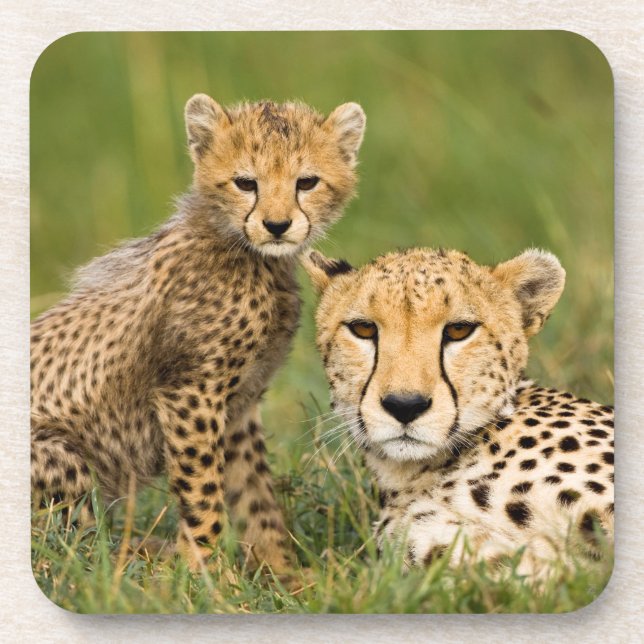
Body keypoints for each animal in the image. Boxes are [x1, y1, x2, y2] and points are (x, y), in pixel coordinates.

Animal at [30, 93, 366, 574]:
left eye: (307, 182)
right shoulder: (190, 393)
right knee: (71, 550)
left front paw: (281, 571)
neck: (250, 256)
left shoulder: (239, 405)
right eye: (246, 183)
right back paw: (146, 559)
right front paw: (206, 573)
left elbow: (256, 496)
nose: (277, 225)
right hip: (59, 452)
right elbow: (202, 490)